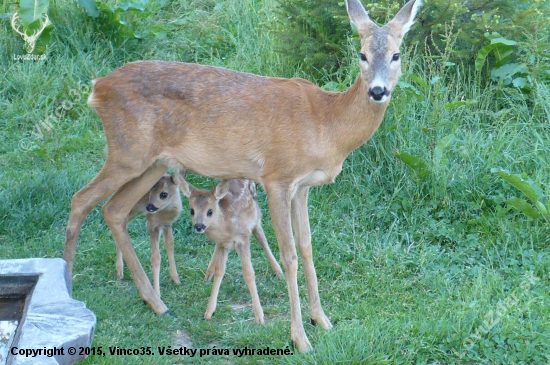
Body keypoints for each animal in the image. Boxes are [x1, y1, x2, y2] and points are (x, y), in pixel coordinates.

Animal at [66, 0, 426, 352]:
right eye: (362, 54)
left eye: (396, 54)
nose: (378, 90)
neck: (326, 122)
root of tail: (98, 88)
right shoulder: (278, 177)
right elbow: (290, 255)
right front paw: (300, 338)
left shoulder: (303, 186)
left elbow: (308, 247)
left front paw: (322, 320)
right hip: (128, 152)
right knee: (81, 199)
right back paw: (69, 290)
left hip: (151, 161)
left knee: (113, 209)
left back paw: (157, 304)